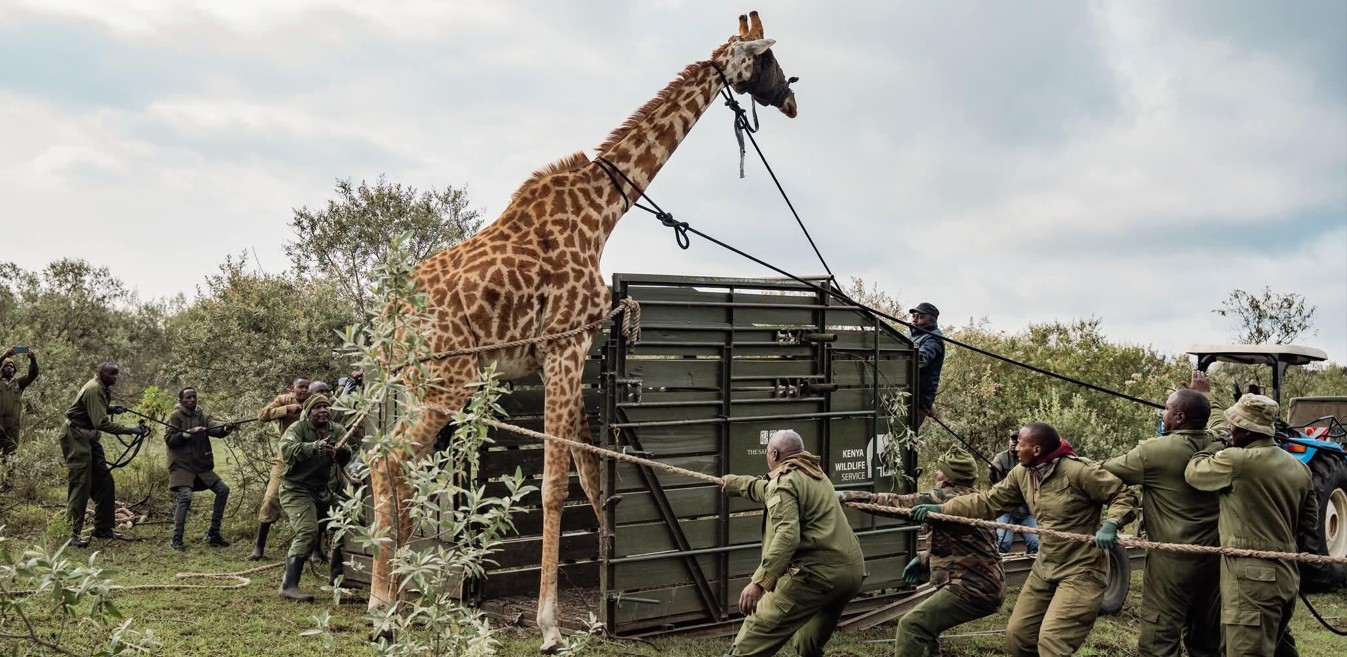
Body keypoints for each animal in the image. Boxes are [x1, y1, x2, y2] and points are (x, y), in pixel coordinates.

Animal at [366, 11, 798, 653]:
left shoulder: (568, 356)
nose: (792, 101)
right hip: (446, 379)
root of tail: (387, 320)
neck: (604, 208)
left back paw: (389, 602)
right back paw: (383, 609)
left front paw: (602, 598)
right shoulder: (564, 347)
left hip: (418, 383)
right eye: (768, 58)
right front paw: (549, 625)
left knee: (387, 462)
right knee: (389, 461)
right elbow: (553, 485)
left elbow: (592, 480)